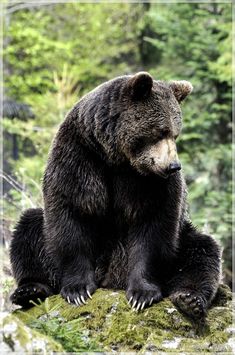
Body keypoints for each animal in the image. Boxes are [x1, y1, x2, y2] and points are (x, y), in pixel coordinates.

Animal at [10, 73, 220, 322]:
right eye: (160, 131)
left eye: (175, 133)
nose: (173, 166)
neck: (117, 156)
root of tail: (109, 281)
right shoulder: (78, 157)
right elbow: (71, 216)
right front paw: (78, 290)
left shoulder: (151, 184)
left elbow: (154, 229)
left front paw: (142, 294)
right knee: (28, 229)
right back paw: (29, 289)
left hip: (182, 237)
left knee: (202, 250)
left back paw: (189, 299)